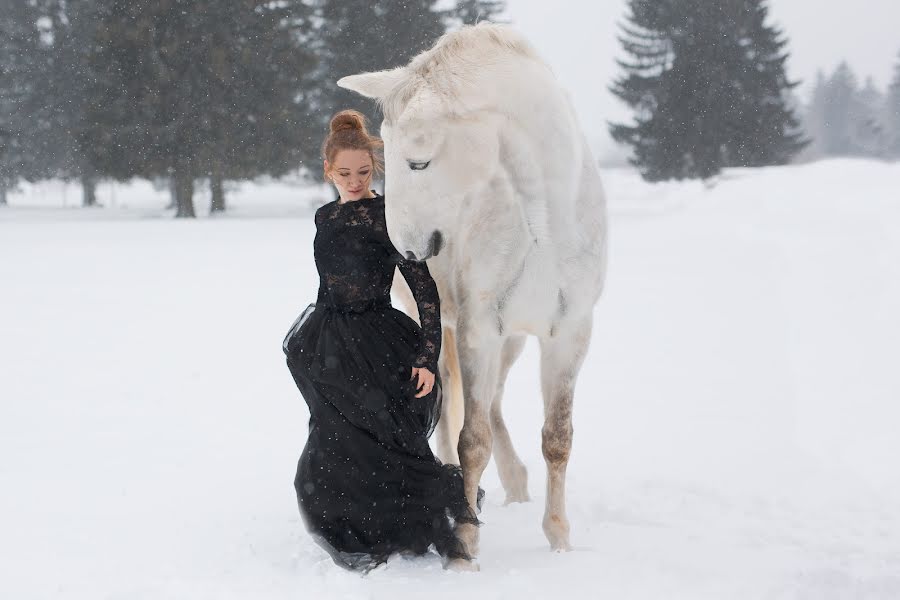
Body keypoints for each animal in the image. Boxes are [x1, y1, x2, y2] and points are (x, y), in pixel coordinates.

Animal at [342, 22, 608, 568]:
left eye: (418, 162)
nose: (403, 246)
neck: (544, 223)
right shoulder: (477, 329)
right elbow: (472, 440)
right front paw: (463, 545)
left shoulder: (570, 334)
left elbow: (557, 438)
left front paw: (559, 539)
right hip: (446, 329)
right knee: (451, 407)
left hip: (515, 341)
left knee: (498, 401)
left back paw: (517, 483)